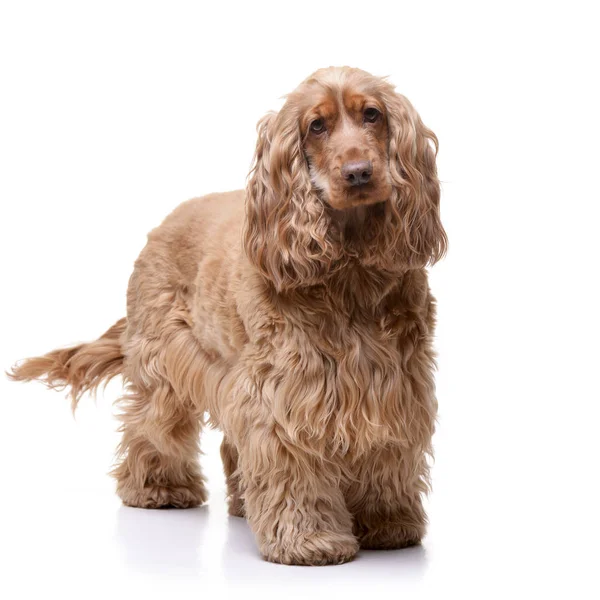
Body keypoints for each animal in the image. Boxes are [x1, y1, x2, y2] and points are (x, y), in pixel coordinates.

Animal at [8, 67, 446, 568]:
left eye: (371, 114)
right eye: (317, 125)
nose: (358, 173)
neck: (350, 271)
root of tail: (164, 221)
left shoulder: (397, 380)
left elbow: (387, 452)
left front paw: (388, 523)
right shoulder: (285, 388)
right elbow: (290, 461)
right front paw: (308, 539)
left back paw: (241, 505)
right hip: (166, 362)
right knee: (151, 425)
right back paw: (158, 488)